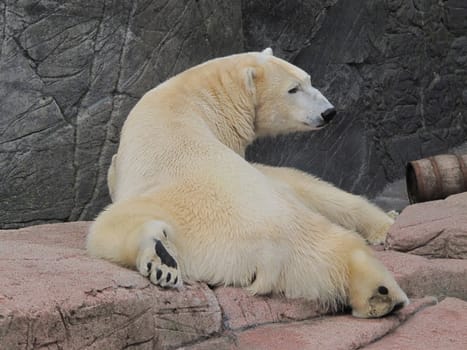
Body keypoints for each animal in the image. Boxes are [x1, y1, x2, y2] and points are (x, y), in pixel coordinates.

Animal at [88, 47, 410, 318]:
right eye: (294, 88)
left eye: (308, 79)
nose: (329, 112)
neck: (201, 94)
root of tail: (272, 247)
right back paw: (381, 291)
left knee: (111, 225)